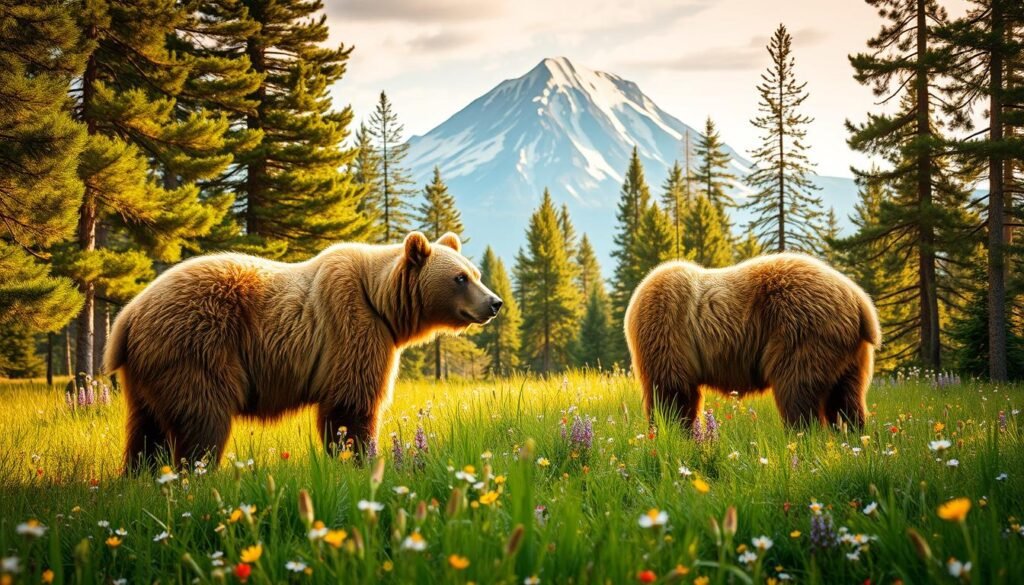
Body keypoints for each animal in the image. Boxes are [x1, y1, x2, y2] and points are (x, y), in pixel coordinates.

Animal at [104, 231, 502, 472]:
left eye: (476, 273)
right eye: (460, 278)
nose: (495, 302)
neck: (382, 303)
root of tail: (128, 316)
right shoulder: (353, 327)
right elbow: (352, 406)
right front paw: (360, 458)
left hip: (149, 373)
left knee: (146, 430)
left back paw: (140, 477)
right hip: (196, 348)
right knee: (202, 420)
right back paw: (198, 474)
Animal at [624, 253, 881, 430]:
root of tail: (860, 301)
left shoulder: (665, 328)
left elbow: (671, 393)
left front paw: (669, 432)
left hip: (803, 332)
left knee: (797, 392)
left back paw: (800, 437)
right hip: (850, 357)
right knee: (846, 401)